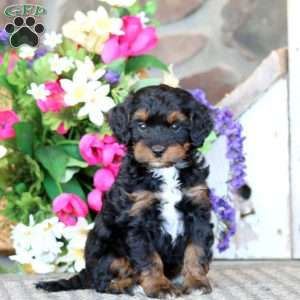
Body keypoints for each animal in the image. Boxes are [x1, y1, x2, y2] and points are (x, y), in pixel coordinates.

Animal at [36, 84, 214, 298]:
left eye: (175, 127)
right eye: (142, 125)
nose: (157, 150)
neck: (164, 172)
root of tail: (86, 271)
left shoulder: (197, 210)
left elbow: (196, 250)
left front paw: (196, 282)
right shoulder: (137, 220)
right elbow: (149, 258)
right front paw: (160, 286)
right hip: (111, 253)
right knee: (102, 281)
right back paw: (127, 285)